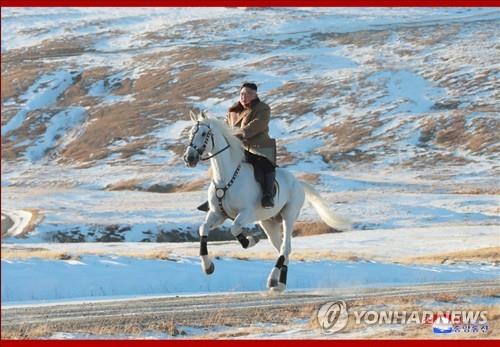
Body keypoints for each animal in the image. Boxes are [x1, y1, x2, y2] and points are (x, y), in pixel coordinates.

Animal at [182, 111, 350, 294]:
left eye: (204, 134)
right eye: (190, 133)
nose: (189, 158)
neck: (226, 178)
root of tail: (298, 182)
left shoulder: (246, 213)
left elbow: (234, 228)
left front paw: (251, 240)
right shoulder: (217, 214)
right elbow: (203, 228)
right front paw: (207, 267)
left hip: (288, 216)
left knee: (285, 247)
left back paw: (273, 280)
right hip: (269, 223)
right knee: (283, 249)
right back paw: (280, 283)